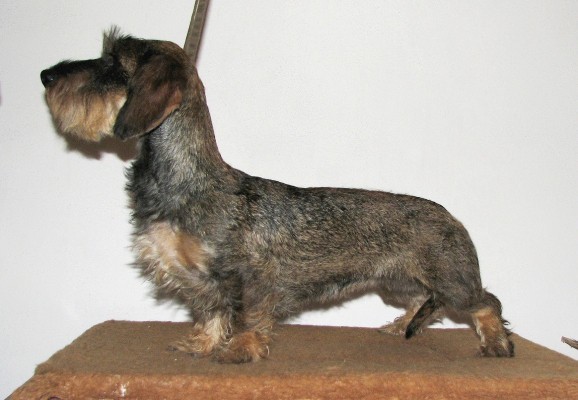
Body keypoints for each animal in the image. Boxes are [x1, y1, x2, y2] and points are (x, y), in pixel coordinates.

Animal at [40, 28, 514, 363]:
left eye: (112, 63)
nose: (46, 75)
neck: (189, 180)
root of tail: (452, 218)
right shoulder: (203, 282)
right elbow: (211, 313)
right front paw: (202, 344)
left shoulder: (252, 277)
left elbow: (249, 315)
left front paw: (241, 349)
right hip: (399, 282)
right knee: (422, 303)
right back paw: (401, 327)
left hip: (453, 283)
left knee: (486, 301)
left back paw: (496, 343)